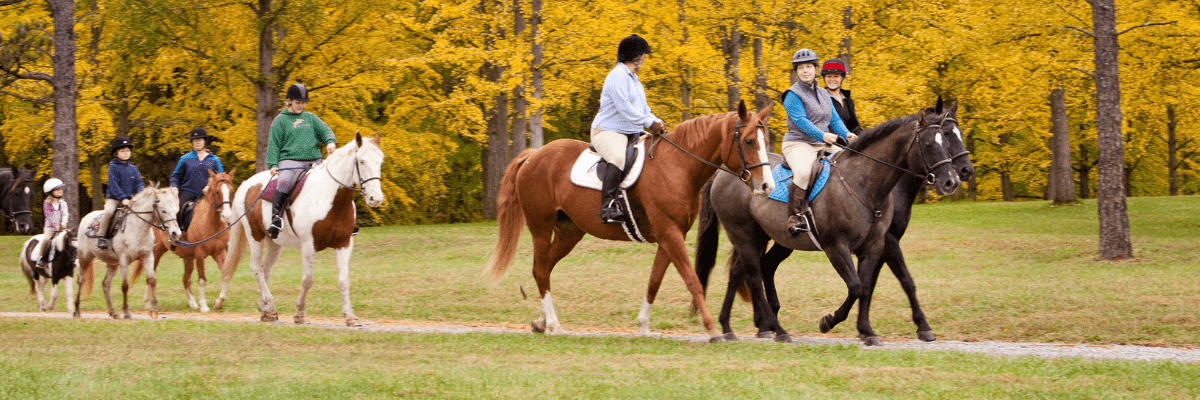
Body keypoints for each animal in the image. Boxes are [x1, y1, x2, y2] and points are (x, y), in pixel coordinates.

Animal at [73, 183, 182, 317]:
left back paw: (113, 312)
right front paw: (126, 311)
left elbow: (152, 280)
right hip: (85, 257)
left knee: (105, 284)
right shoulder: (124, 260)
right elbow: (125, 285)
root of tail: (85, 218)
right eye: (163, 210)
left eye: (175, 210)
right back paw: (76, 310)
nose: (176, 233)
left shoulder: (148, 256)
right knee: (80, 280)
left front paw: (154, 310)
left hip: (112, 263)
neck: (137, 228)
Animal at [131, 168, 236, 312]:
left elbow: (226, 276)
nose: (227, 216)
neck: (211, 223)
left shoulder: (219, 253)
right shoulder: (200, 254)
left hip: (188, 258)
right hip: (156, 252)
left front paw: (218, 302)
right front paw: (204, 305)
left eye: (231, 191)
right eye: (216, 192)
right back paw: (148, 303)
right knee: (150, 276)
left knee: (185, 279)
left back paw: (192, 303)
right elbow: (202, 279)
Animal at [218, 132, 381, 326]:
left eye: (380, 161)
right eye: (362, 161)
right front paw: (300, 314)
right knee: (256, 267)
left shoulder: (344, 244)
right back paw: (270, 307)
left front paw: (350, 316)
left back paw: (265, 308)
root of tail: (247, 185)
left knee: (265, 269)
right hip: (254, 236)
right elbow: (308, 280)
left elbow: (344, 280)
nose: (376, 199)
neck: (330, 198)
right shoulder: (309, 245)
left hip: (274, 243)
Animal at [482, 101, 772, 341]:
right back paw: (554, 325)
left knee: (543, 268)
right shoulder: (669, 233)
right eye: (748, 141)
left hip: (569, 233)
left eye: (764, 139)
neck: (677, 166)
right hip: (540, 228)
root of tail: (533, 155)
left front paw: (644, 326)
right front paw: (712, 329)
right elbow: (692, 280)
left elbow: (654, 281)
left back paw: (542, 322)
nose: (766, 186)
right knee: (542, 270)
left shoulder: (670, 235)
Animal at [705, 99, 979, 343]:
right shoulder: (841, 247)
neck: (865, 183)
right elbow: (867, 285)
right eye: (932, 143)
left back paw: (751, 324)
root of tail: (727, 173)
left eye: (952, 136)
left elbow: (867, 286)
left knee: (758, 268)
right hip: (745, 236)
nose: (954, 178)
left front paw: (866, 330)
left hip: (771, 239)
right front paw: (829, 321)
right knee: (751, 275)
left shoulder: (874, 246)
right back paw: (768, 328)